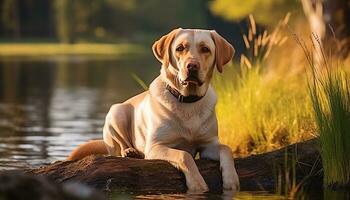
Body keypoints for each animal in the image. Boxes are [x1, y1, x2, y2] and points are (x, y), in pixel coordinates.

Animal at [67, 28, 239, 192]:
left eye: (205, 49)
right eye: (180, 48)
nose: (192, 66)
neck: (187, 101)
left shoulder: (207, 144)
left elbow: (227, 149)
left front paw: (232, 181)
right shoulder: (156, 146)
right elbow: (184, 155)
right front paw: (197, 184)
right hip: (117, 112)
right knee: (118, 148)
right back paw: (130, 151)